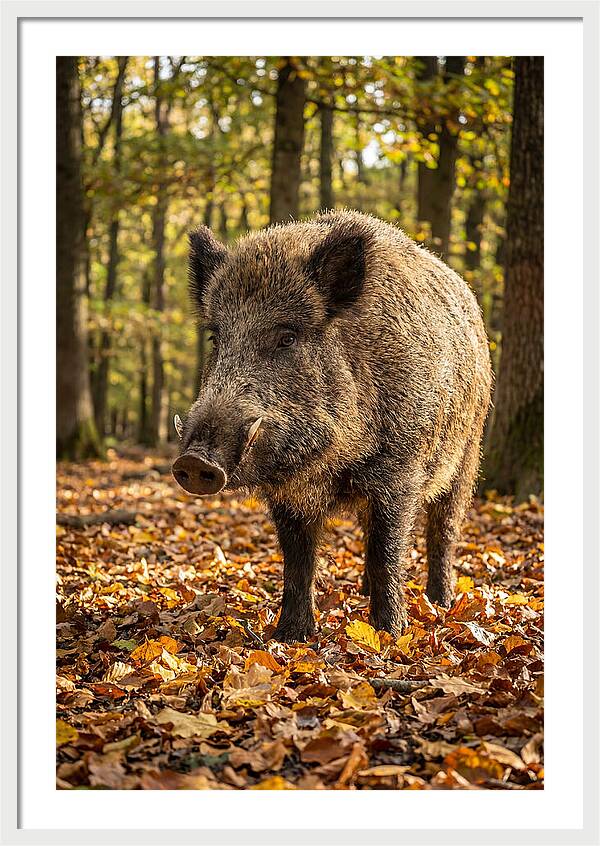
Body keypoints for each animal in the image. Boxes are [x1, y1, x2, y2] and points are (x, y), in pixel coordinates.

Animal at [172, 210, 492, 642]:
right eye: (215, 338)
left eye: (287, 337)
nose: (193, 461)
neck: (328, 463)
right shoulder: (288, 495)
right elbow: (297, 560)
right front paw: (290, 636)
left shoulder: (400, 471)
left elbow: (388, 550)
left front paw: (389, 635)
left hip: (468, 452)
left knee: (444, 528)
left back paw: (440, 602)